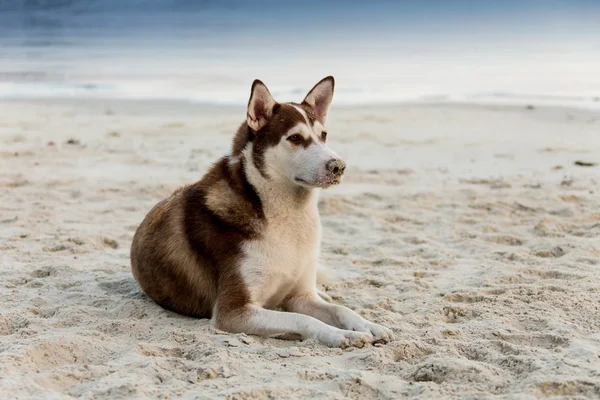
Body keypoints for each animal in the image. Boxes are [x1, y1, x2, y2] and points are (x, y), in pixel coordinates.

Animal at [130, 76, 394, 346]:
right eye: (295, 138)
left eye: (324, 135)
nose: (338, 166)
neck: (290, 216)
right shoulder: (234, 311)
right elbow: (303, 320)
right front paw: (341, 334)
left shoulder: (301, 297)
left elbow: (341, 309)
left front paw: (369, 325)